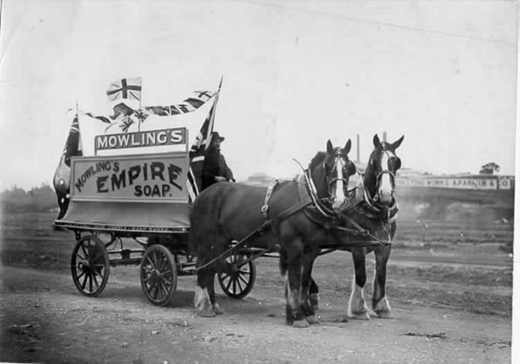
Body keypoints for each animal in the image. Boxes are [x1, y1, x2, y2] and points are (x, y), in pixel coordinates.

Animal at [190, 139, 358, 328]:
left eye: (349, 167)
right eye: (328, 167)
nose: (340, 200)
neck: (306, 201)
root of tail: (204, 194)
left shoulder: (311, 250)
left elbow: (304, 280)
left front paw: (308, 313)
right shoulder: (294, 247)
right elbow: (294, 281)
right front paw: (297, 316)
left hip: (221, 241)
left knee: (212, 267)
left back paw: (214, 305)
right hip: (207, 240)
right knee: (204, 267)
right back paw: (204, 306)